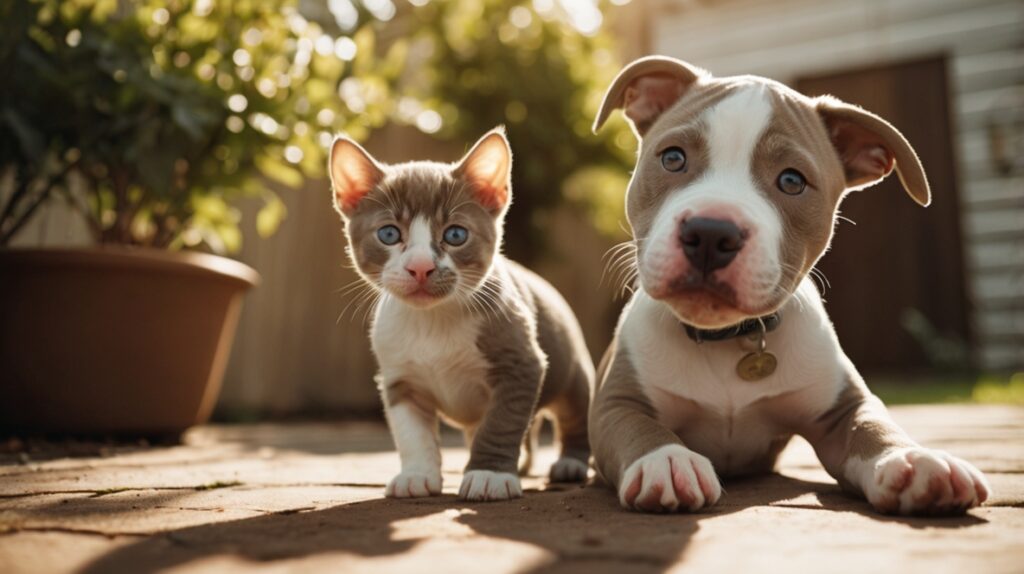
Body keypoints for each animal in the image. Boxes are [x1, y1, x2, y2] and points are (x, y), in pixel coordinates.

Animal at [329, 127, 593, 499]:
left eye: (455, 234)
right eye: (389, 233)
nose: (420, 267)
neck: (433, 320)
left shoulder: (521, 365)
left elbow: (502, 421)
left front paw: (489, 473)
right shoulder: (400, 380)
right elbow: (412, 434)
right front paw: (417, 474)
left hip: (573, 371)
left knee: (575, 414)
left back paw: (570, 463)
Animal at [593, 57, 991, 515]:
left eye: (792, 181)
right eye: (672, 158)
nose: (711, 232)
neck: (727, 339)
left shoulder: (843, 407)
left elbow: (874, 424)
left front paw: (913, 458)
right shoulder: (615, 403)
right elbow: (638, 426)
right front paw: (667, 458)